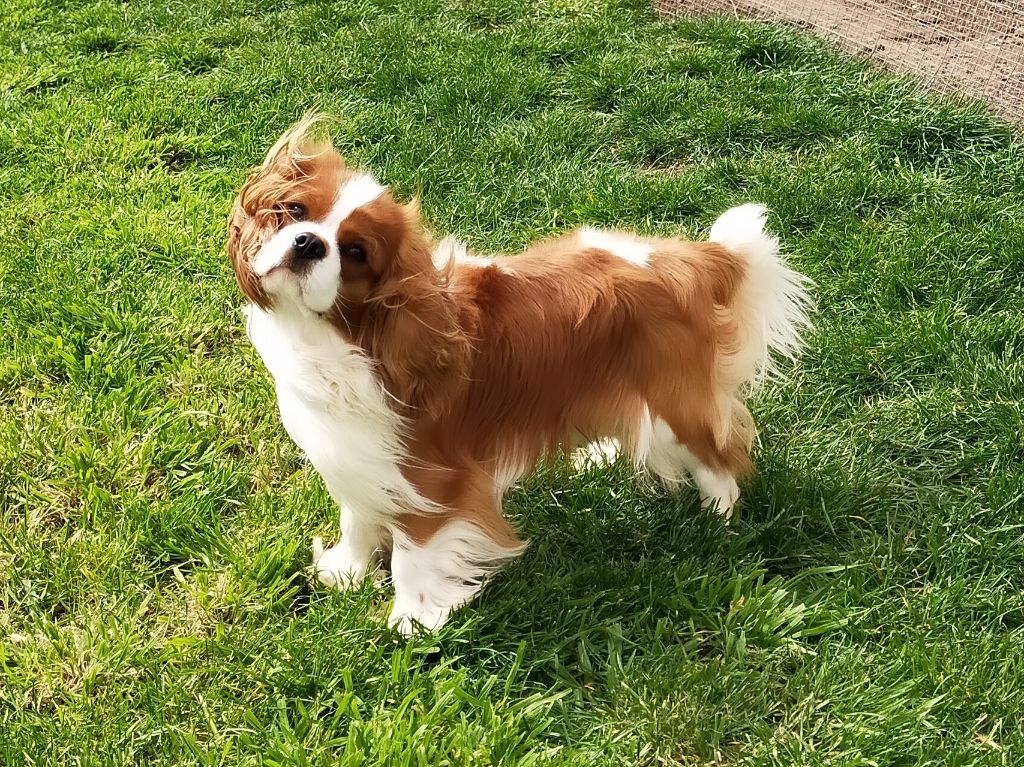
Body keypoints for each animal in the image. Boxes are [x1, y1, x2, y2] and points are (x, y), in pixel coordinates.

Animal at [228, 118, 811, 634]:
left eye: (355, 253)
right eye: (293, 212)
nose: (308, 242)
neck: (343, 339)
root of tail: (692, 257)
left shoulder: (431, 476)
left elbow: (415, 552)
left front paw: (411, 622)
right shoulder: (358, 453)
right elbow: (358, 515)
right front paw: (346, 572)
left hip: (676, 405)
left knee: (721, 460)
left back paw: (719, 522)